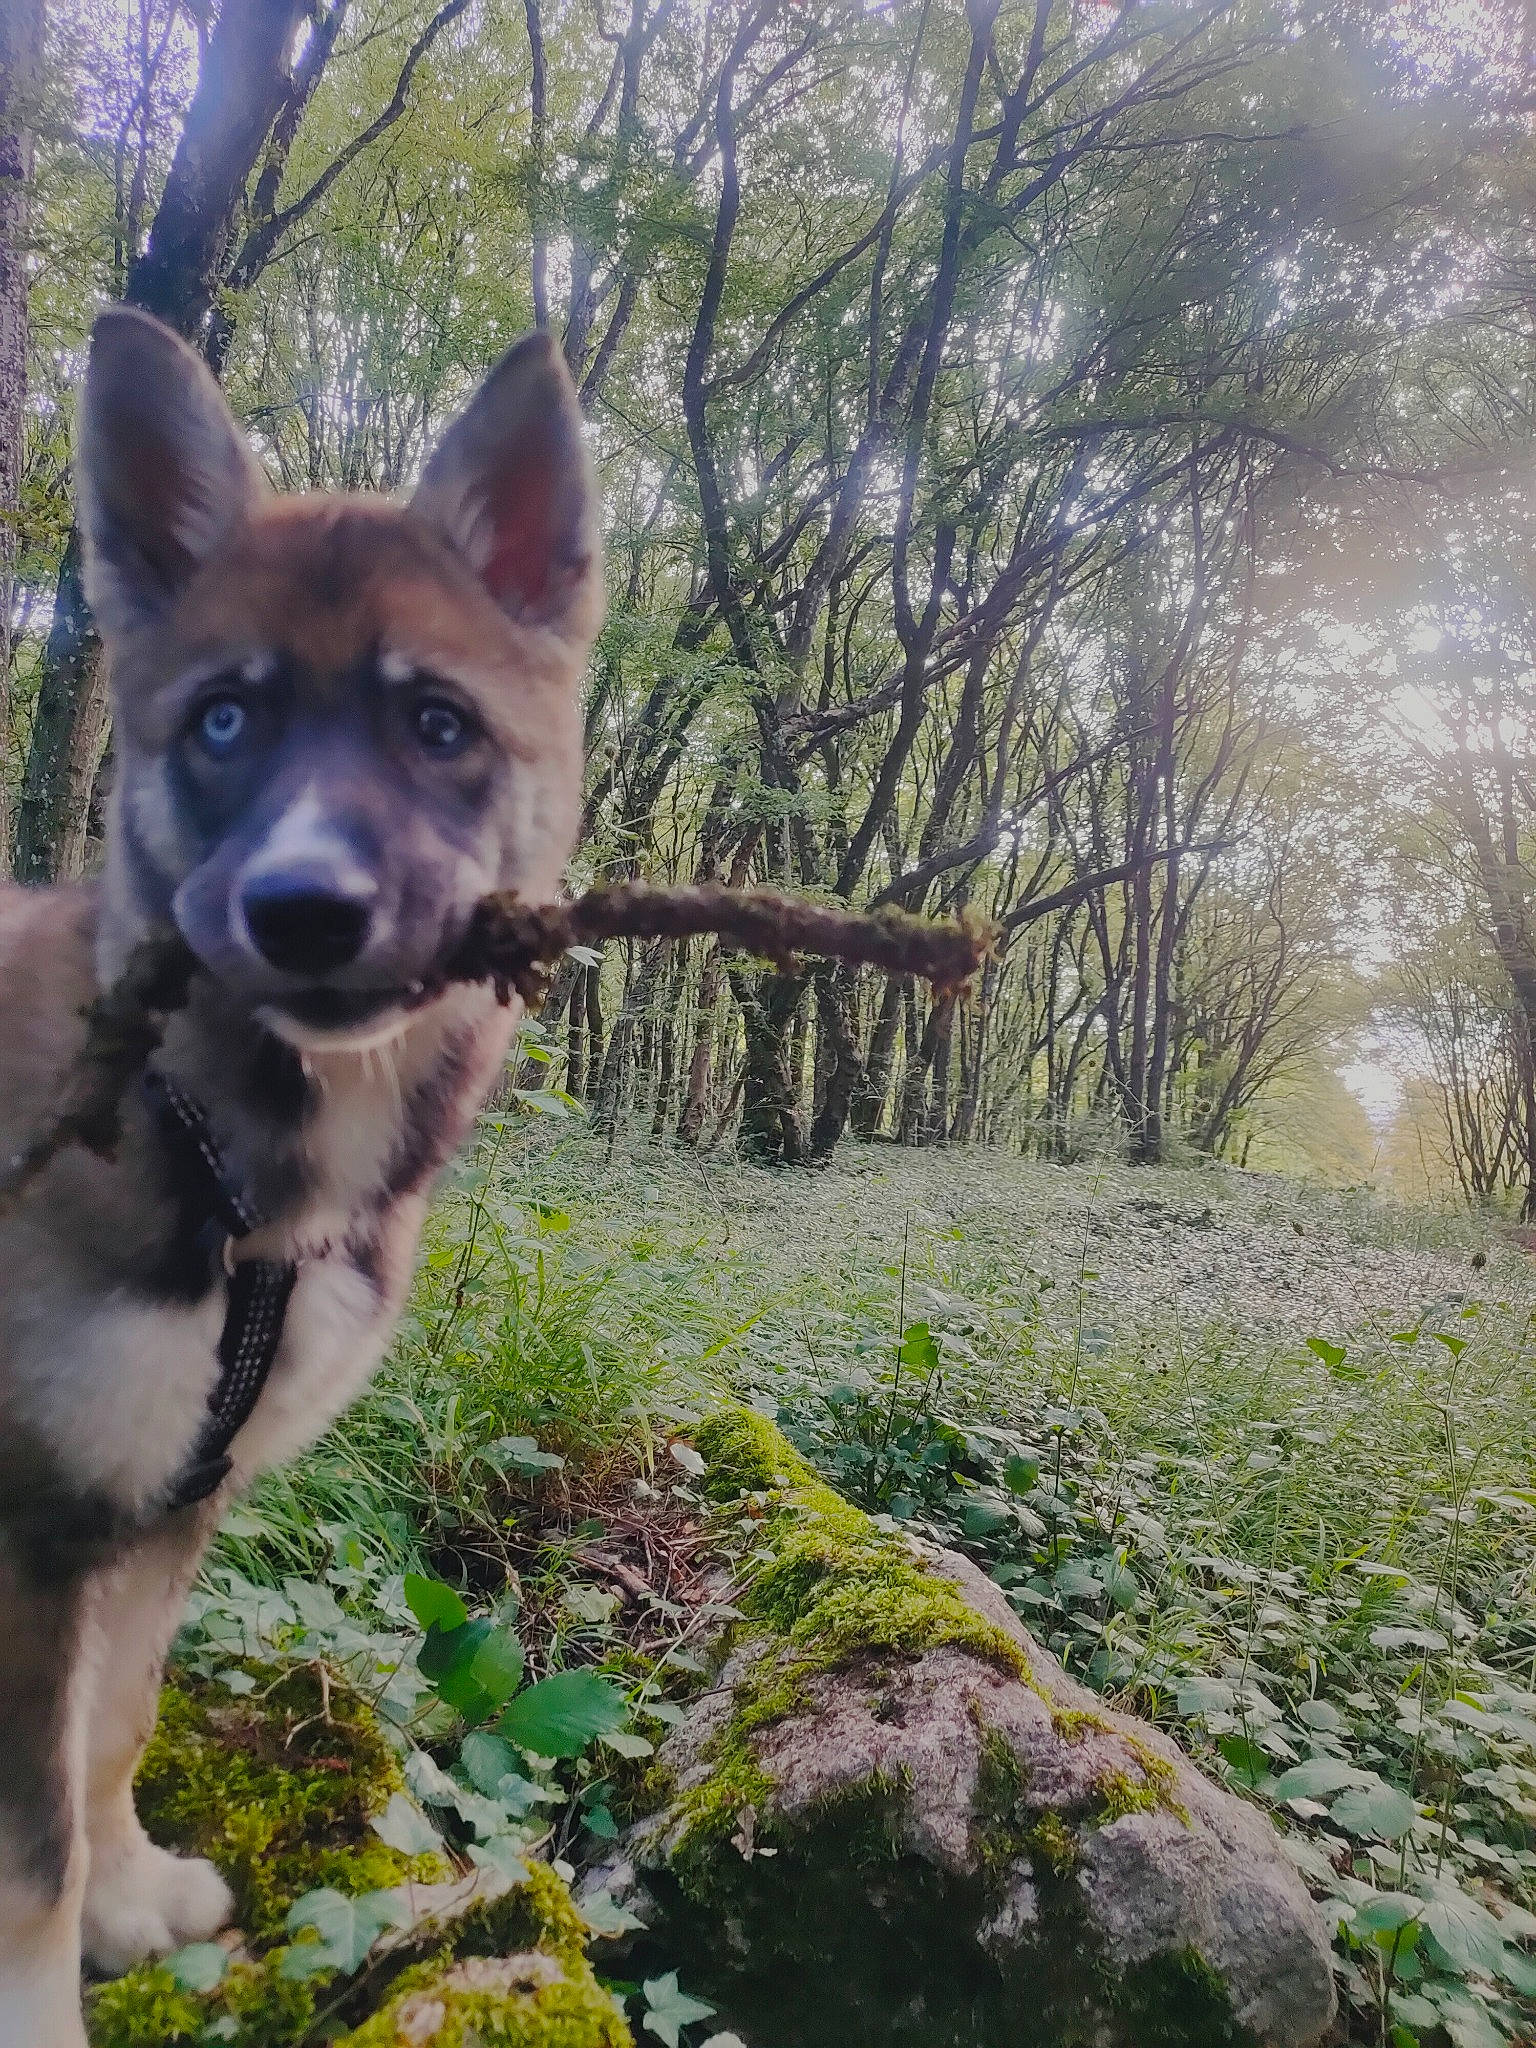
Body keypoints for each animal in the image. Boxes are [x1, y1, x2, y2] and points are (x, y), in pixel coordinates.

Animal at [0, 305, 603, 2045]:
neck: (239, 1181)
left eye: (437, 724)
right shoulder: (34, 1526)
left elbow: (118, 1727)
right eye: (223, 720)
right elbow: (31, 1842)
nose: (305, 911)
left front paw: (133, 1900)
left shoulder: (164, 1502)